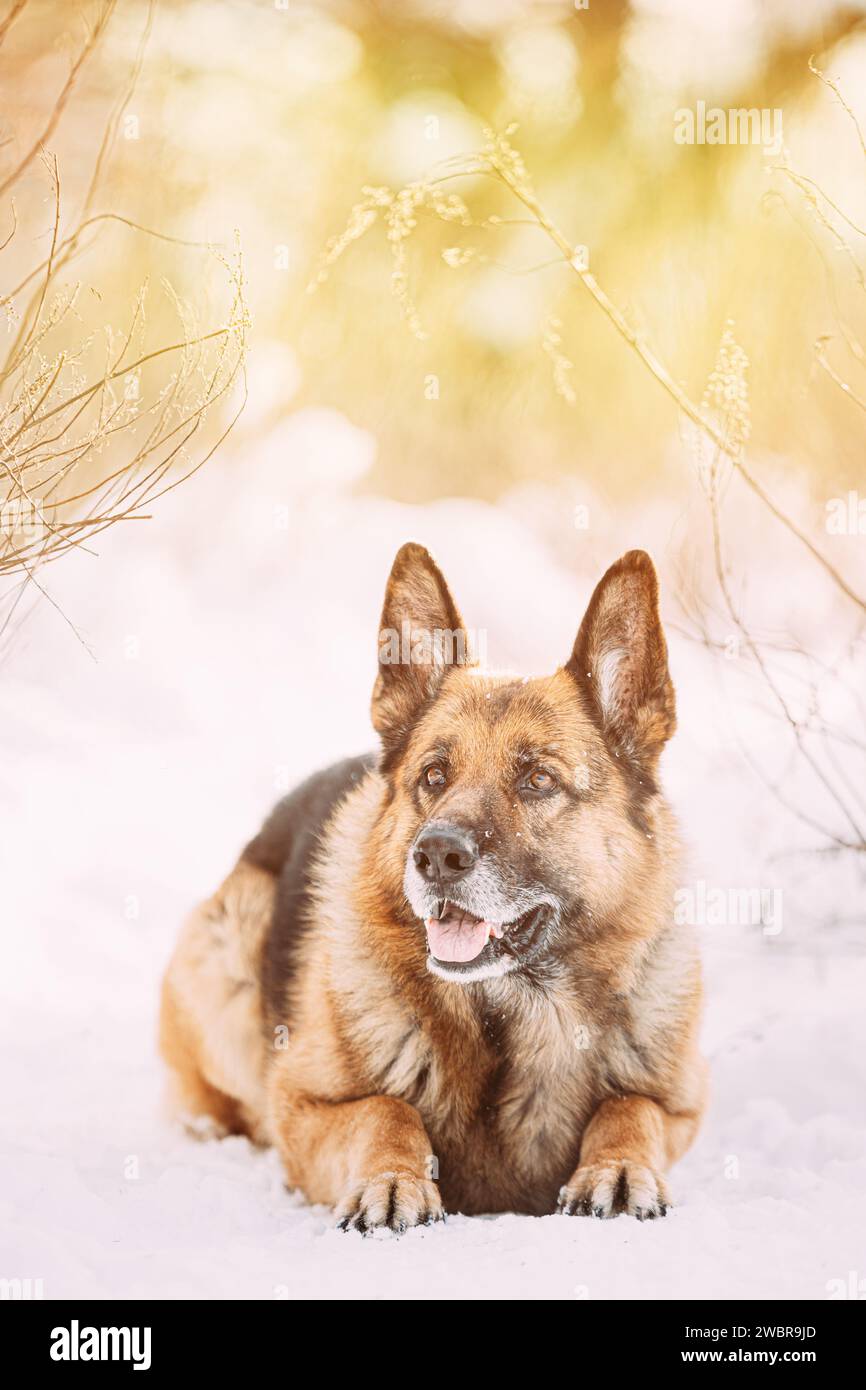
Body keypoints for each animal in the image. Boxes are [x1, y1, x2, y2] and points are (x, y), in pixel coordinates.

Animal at [161, 542, 706, 1228]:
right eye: (434, 775)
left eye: (537, 780)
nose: (436, 855)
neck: (506, 1018)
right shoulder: (305, 1106)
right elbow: (385, 1108)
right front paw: (394, 1180)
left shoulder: (678, 1106)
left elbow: (629, 1107)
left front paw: (619, 1166)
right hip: (229, 960)